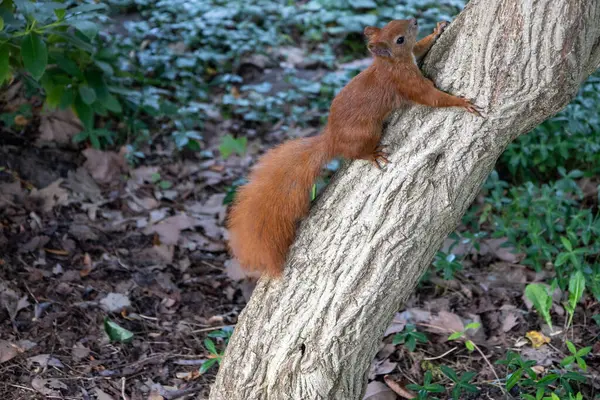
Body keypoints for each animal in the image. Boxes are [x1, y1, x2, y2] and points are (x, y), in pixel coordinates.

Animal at [227, 18, 480, 276]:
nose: (415, 20)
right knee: (356, 153)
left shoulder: (412, 57)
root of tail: (332, 139)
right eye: (399, 39)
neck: (390, 64)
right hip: (367, 132)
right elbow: (432, 97)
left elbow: (420, 47)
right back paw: (372, 154)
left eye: (393, 23)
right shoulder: (406, 84)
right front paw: (461, 103)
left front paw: (437, 30)